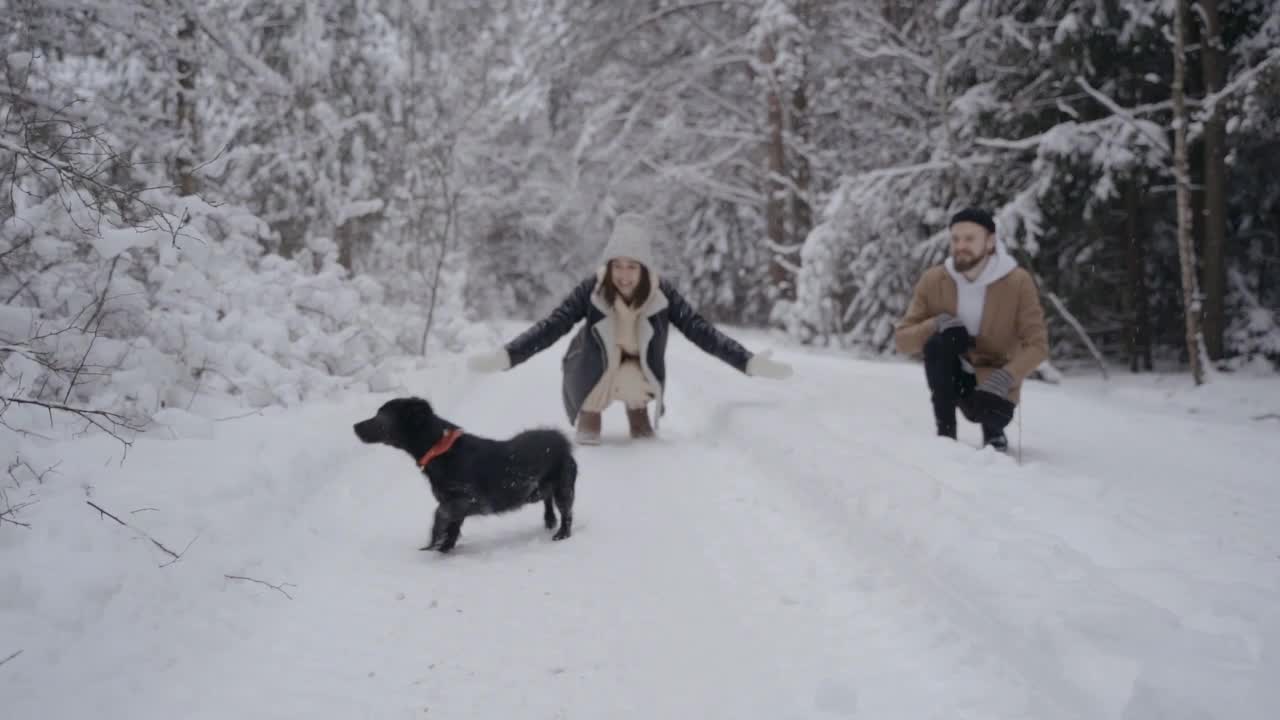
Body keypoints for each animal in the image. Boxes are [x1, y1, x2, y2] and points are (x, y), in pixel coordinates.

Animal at [353, 397, 578, 548]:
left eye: (381, 415)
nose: (354, 426)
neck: (440, 449)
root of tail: (561, 441)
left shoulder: (467, 499)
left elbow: (441, 513)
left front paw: (434, 539)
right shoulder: (456, 504)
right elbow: (453, 526)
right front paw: (444, 547)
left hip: (563, 487)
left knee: (567, 512)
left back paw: (562, 533)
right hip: (535, 491)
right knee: (547, 499)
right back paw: (549, 520)